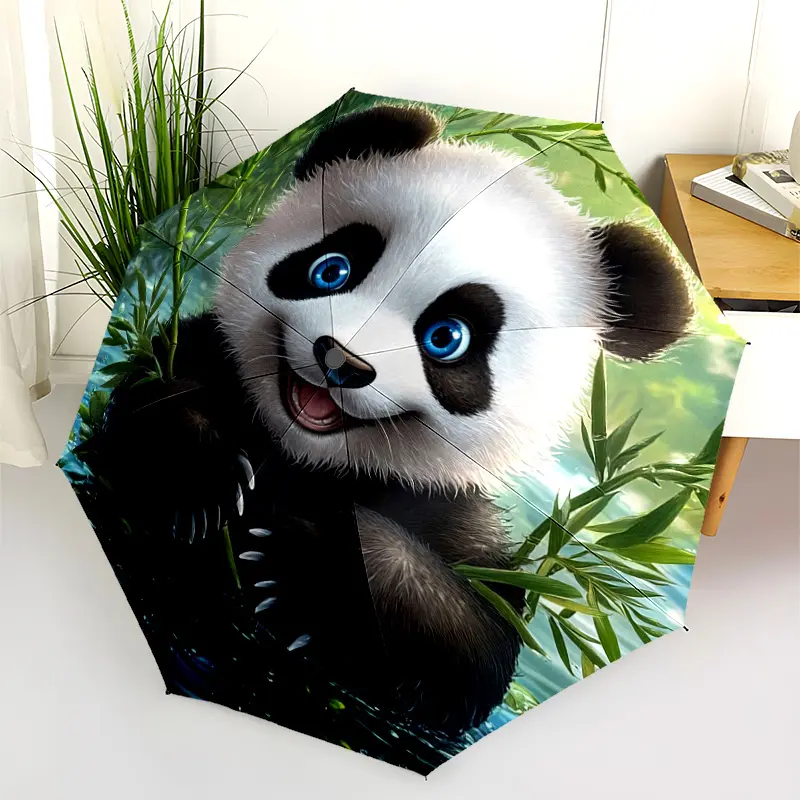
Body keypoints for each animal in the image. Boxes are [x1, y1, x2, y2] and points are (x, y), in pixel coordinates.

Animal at [84, 103, 691, 752]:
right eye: (332, 269)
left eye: (447, 338)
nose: (341, 361)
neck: (304, 454)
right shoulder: (201, 358)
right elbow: (140, 412)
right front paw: (205, 483)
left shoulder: (459, 522)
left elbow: (472, 652)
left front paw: (302, 568)